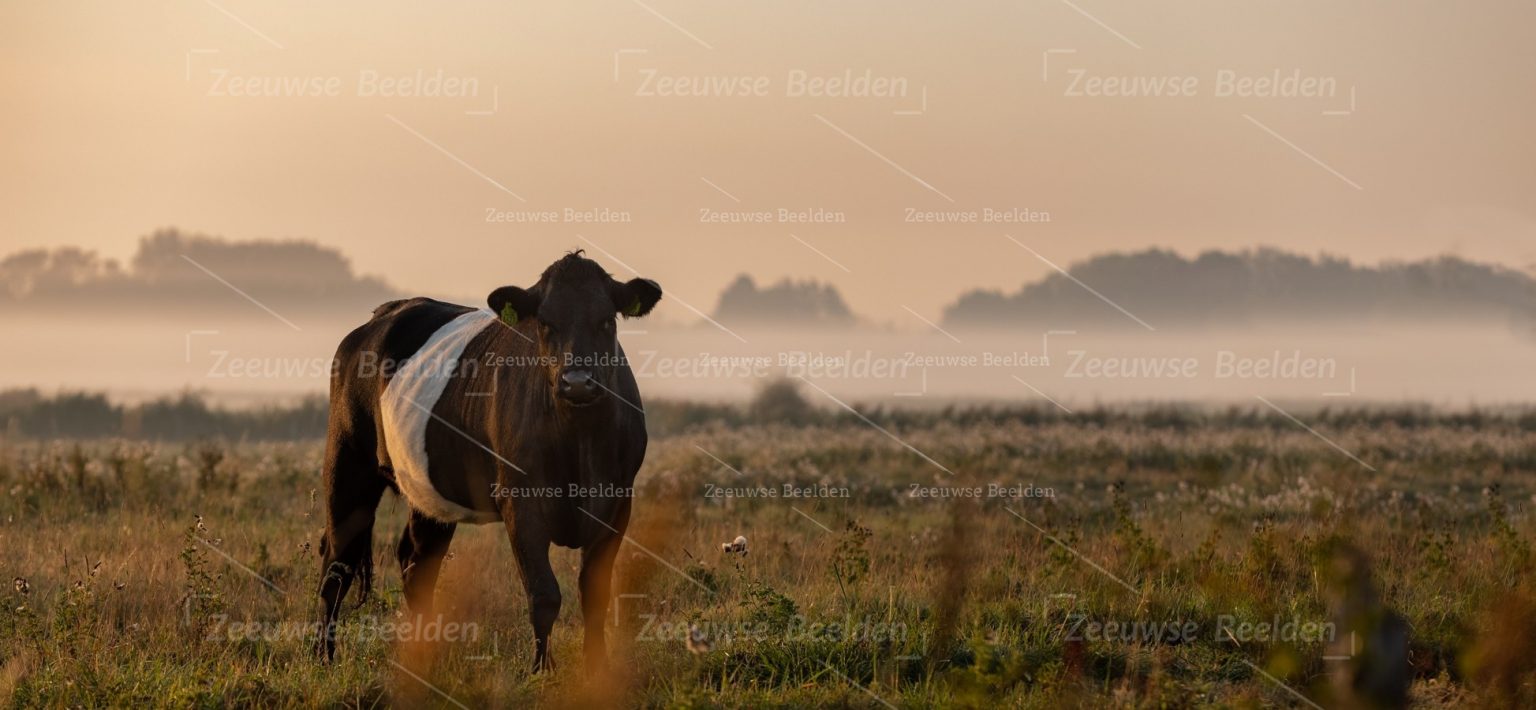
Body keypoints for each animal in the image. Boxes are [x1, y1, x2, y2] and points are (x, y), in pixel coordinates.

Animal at [315, 251, 662, 673]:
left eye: (607, 320)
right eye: (544, 322)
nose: (577, 381)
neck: (578, 440)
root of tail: (383, 314)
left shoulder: (617, 503)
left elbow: (595, 592)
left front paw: (596, 668)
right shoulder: (520, 502)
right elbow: (544, 593)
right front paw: (541, 671)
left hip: (431, 492)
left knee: (416, 563)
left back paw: (421, 654)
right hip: (347, 461)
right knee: (337, 563)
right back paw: (322, 657)